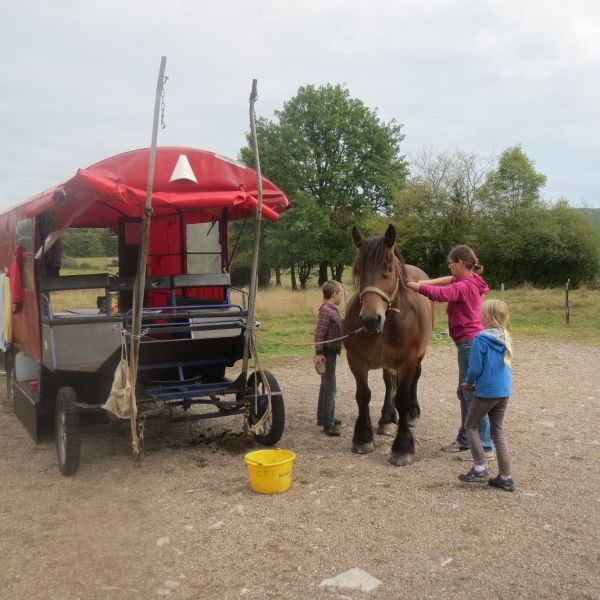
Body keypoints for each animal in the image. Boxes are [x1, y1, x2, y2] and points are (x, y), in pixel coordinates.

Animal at [342, 227, 432, 466]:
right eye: (359, 269)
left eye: (389, 269)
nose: (370, 319)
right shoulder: (356, 361)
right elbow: (363, 395)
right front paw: (363, 437)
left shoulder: (408, 361)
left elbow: (402, 399)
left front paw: (403, 447)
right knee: (389, 381)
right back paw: (386, 419)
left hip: (418, 357)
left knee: (414, 381)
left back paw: (412, 414)